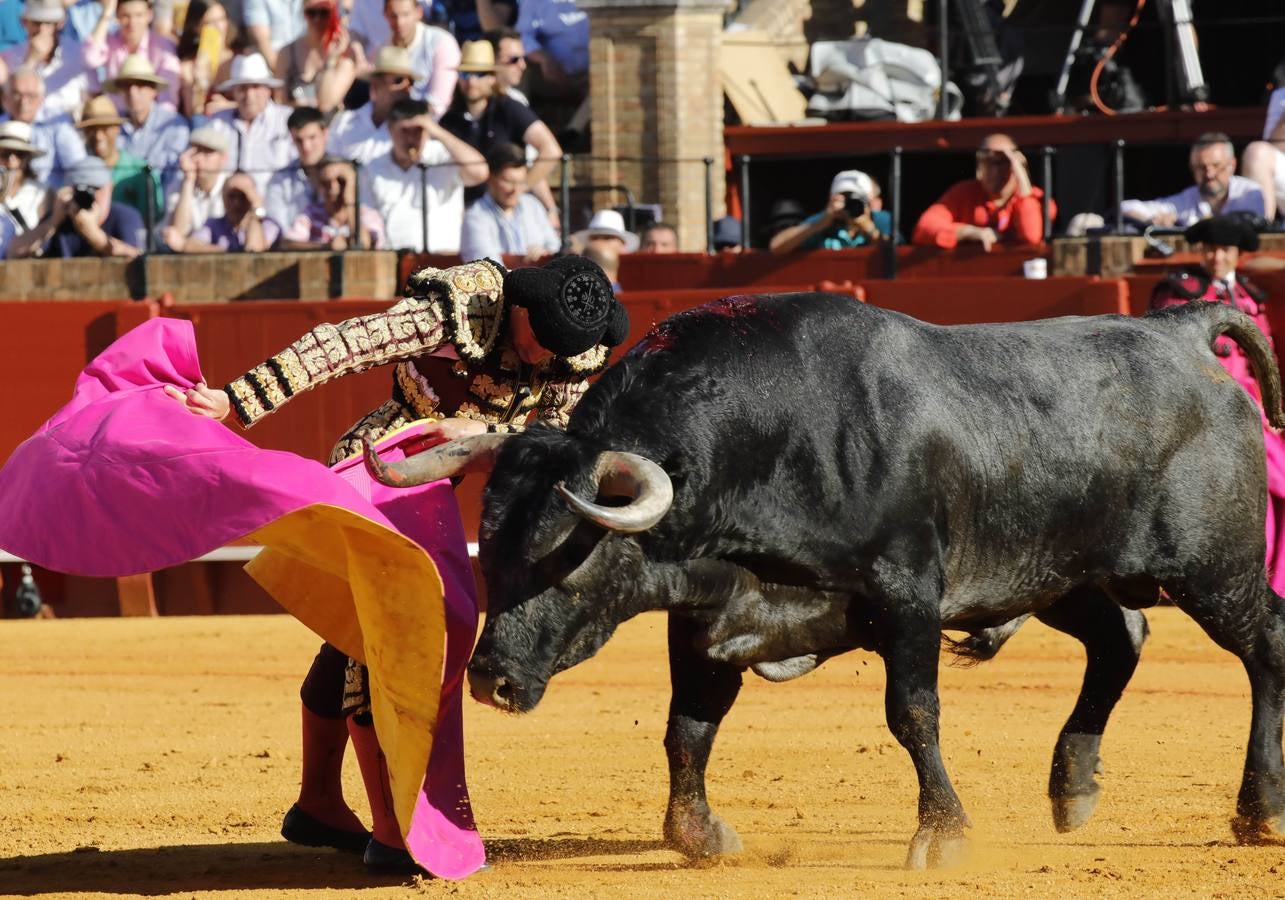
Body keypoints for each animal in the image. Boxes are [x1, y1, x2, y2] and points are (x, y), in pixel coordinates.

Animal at [364, 293, 1285, 864]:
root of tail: (1177, 331)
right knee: (1120, 638)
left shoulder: (905, 595)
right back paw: (1073, 788)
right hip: (1061, 574)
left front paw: (943, 836)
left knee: (1263, 647)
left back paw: (1258, 811)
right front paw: (700, 837)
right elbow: (686, 728)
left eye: (569, 555)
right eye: (490, 549)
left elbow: (911, 713)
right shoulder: (703, 621)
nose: (490, 680)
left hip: (1212, 567)